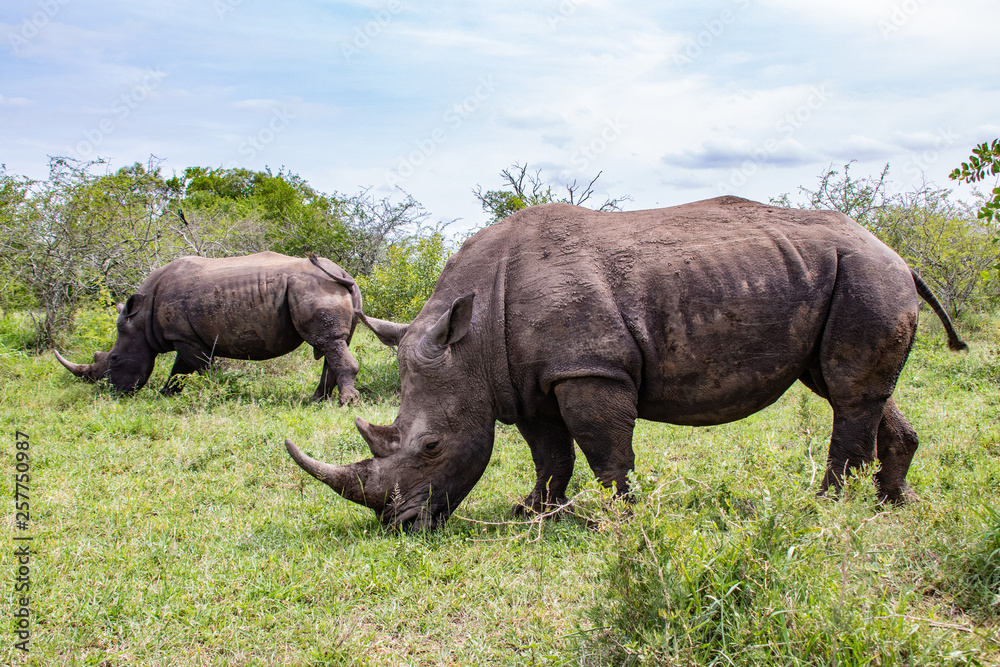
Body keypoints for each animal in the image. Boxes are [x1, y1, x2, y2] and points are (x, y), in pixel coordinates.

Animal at [55, 251, 363, 404]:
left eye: (115, 359)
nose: (110, 394)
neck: (140, 320)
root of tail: (344, 273)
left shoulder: (183, 337)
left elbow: (200, 368)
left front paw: (217, 394)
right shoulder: (184, 336)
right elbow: (180, 370)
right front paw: (165, 395)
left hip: (314, 288)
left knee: (328, 343)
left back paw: (346, 403)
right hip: (321, 289)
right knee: (331, 345)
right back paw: (316, 400)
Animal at [285, 197, 967, 529]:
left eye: (429, 447)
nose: (399, 524)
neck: (470, 340)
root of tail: (901, 255)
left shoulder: (589, 368)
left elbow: (604, 448)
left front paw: (618, 520)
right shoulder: (525, 379)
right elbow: (549, 453)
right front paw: (535, 512)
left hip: (866, 275)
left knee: (847, 392)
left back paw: (822, 507)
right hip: (851, 277)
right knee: (852, 388)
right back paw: (891, 504)